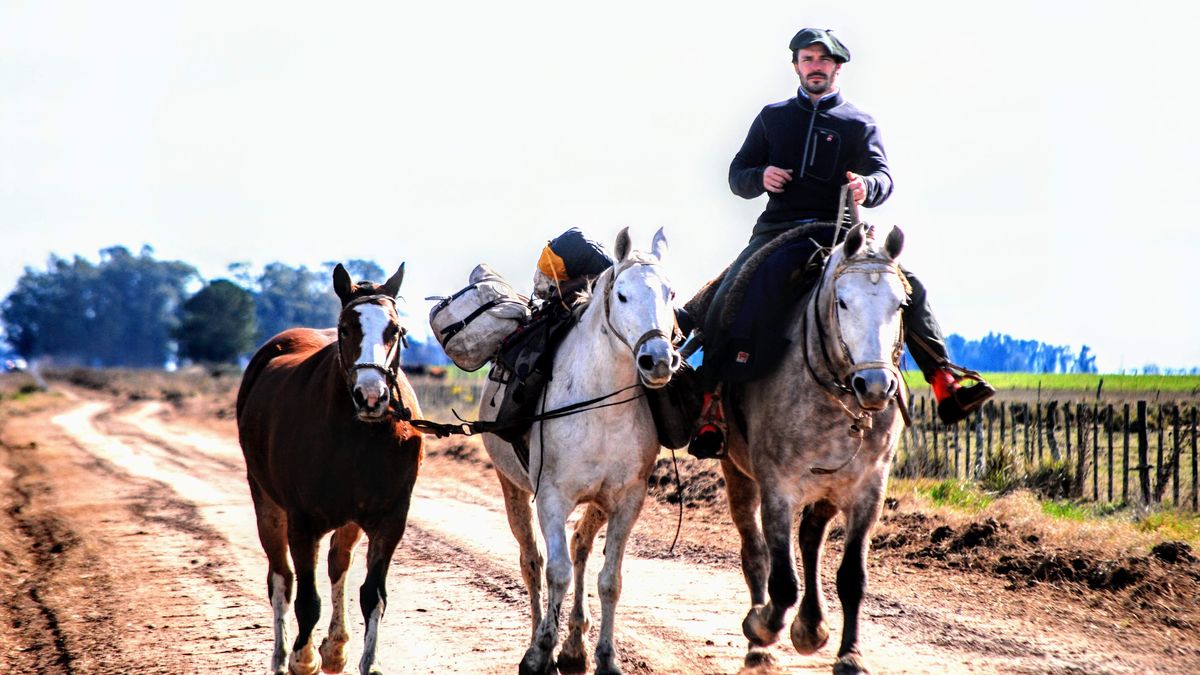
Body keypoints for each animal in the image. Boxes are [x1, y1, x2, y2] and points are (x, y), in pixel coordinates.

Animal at [235, 261, 422, 672]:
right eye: (346, 328)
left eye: (395, 330)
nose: (371, 396)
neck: (356, 435)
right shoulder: (302, 523)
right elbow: (306, 599)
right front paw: (301, 659)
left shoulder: (389, 519)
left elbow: (373, 595)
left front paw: (367, 661)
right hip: (266, 503)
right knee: (281, 580)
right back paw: (281, 655)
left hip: (349, 519)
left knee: (338, 565)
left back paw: (336, 648)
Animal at [480, 227, 686, 672]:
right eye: (622, 295)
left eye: (671, 293)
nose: (658, 360)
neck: (601, 405)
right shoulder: (551, 499)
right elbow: (555, 573)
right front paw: (540, 651)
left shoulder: (628, 500)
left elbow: (610, 581)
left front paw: (606, 657)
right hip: (512, 487)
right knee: (533, 562)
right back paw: (540, 640)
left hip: (599, 503)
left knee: (580, 548)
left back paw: (575, 646)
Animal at [720, 224, 907, 672]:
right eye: (843, 301)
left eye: (899, 303)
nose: (876, 386)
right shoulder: (778, 488)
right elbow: (782, 581)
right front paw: (761, 627)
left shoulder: (868, 490)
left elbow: (853, 578)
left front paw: (850, 654)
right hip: (738, 473)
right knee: (755, 553)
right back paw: (760, 647)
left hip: (828, 488)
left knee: (809, 537)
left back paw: (810, 625)